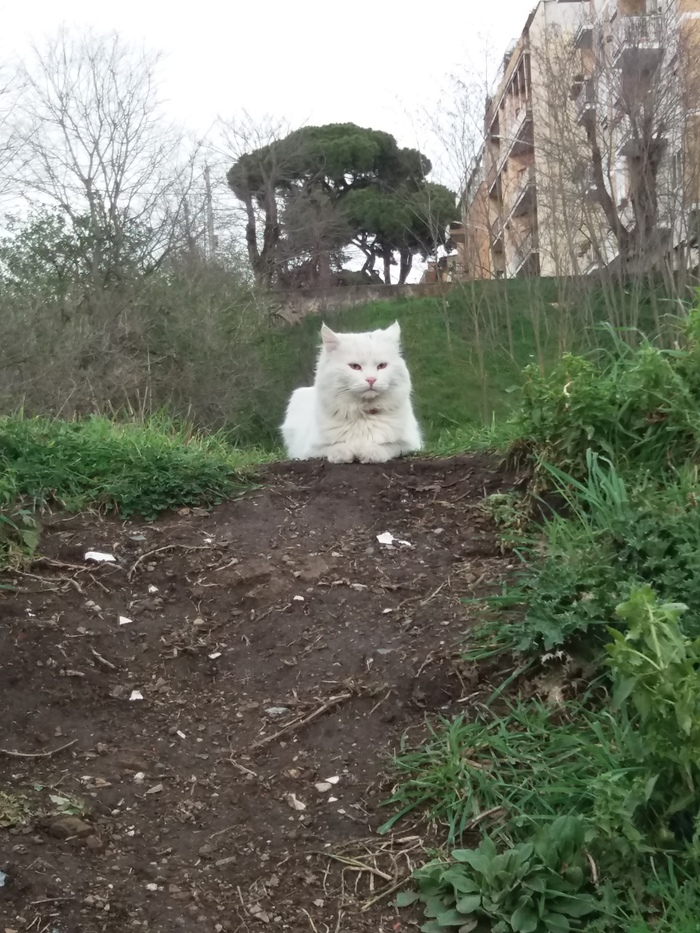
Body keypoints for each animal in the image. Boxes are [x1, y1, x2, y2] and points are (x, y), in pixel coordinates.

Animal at [280, 322, 422, 464]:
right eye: (355, 366)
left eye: (382, 366)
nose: (371, 379)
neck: (363, 413)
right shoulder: (309, 449)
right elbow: (336, 447)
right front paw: (343, 455)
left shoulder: (410, 444)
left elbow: (385, 446)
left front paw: (371, 454)